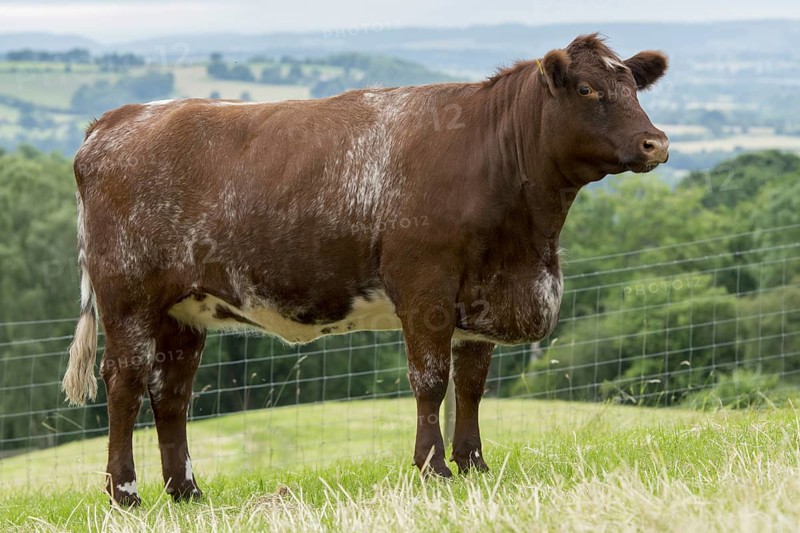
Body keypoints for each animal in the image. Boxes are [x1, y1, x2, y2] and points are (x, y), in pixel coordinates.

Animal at [62, 33, 668, 506]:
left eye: (634, 88)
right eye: (587, 90)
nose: (656, 142)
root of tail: (116, 119)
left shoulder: (481, 296)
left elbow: (471, 385)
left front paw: (474, 465)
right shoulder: (425, 288)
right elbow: (431, 381)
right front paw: (433, 469)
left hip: (184, 311)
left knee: (171, 394)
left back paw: (187, 492)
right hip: (128, 298)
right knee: (125, 383)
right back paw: (125, 494)